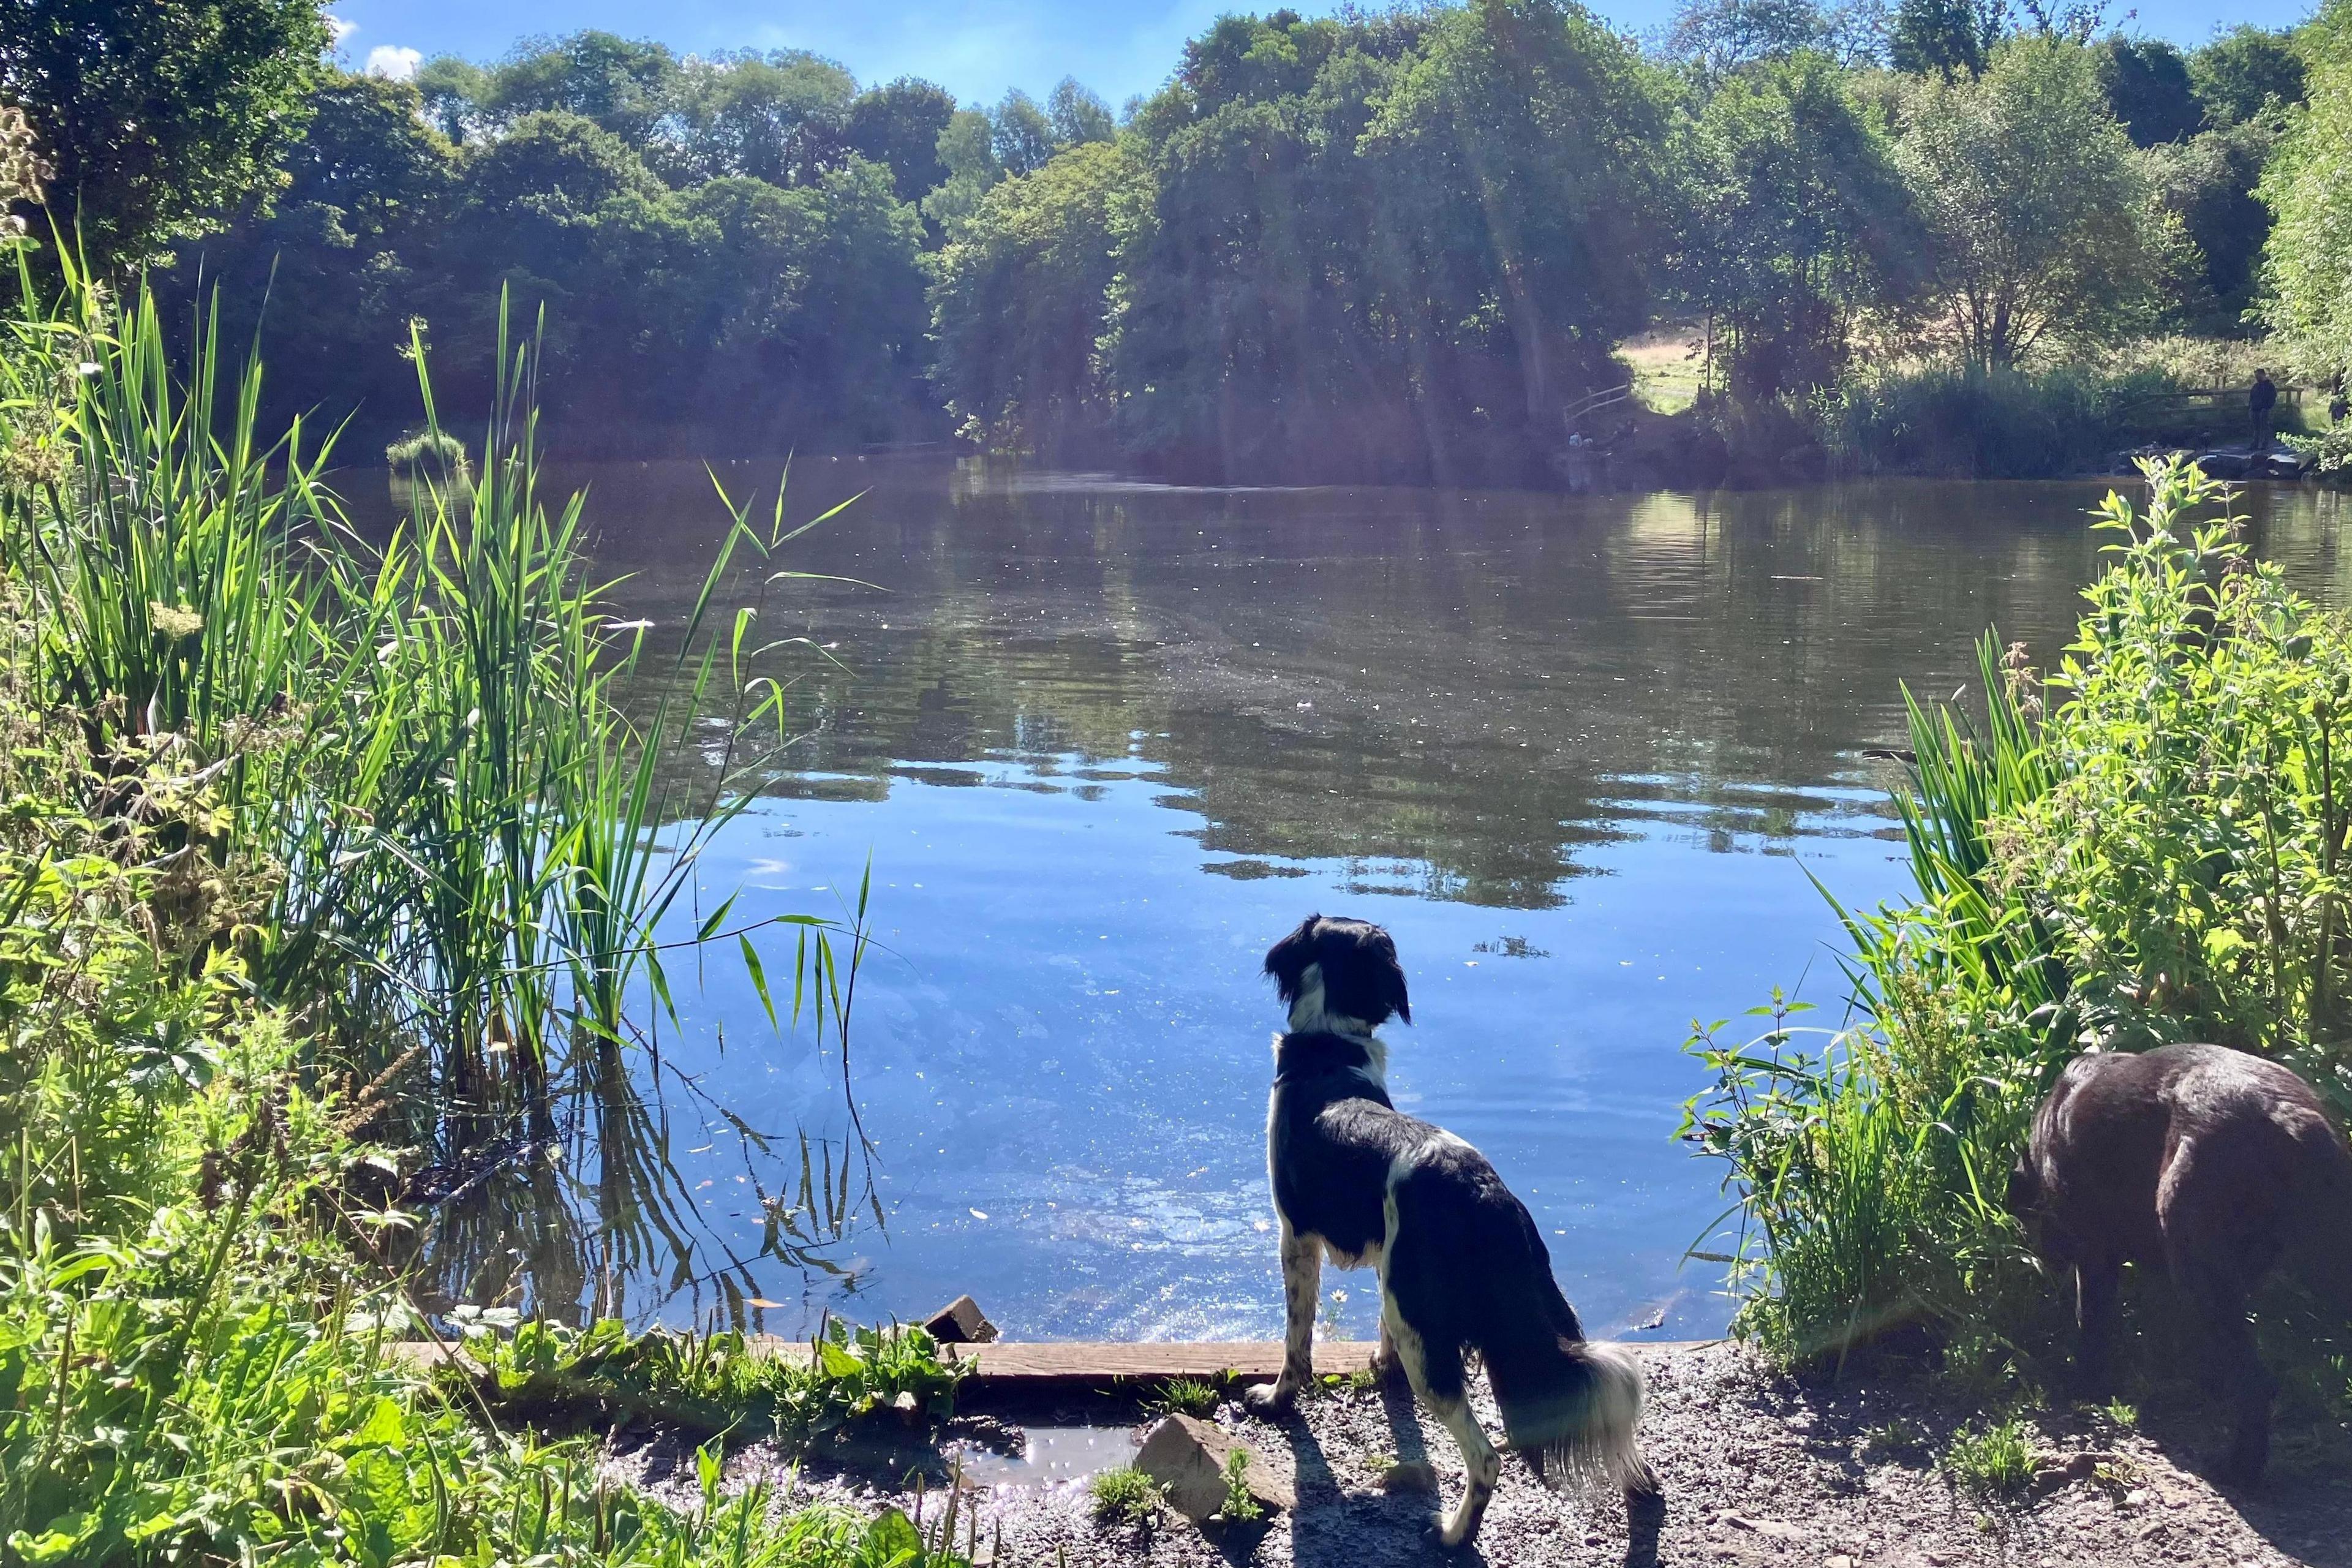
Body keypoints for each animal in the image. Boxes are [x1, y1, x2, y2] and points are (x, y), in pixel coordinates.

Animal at [1251, 912, 1656, 1551]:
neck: (1329, 1051)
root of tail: (1489, 1193)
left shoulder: (1296, 1236)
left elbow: (1297, 1339)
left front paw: (1276, 1398)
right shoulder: (1387, 1266)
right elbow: (1378, 1332)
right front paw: (1380, 1367)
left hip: (1427, 1330)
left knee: (1487, 1457)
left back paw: (1452, 1534)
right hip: (1527, 1302)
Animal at [2003, 1044, 2352, 1485]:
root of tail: (2290, 1116)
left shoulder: (2094, 1253)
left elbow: (2092, 1323)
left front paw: (2083, 1385)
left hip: (2193, 1260)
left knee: (2256, 1384)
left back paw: (2238, 1470)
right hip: (2325, 1259)